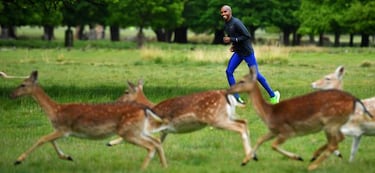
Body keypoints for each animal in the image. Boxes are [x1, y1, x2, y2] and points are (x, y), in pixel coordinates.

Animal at [9, 70, 167, 170]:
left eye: (23, 84)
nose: (12, 94)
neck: (55, 110)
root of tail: (144, 109)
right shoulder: (59, 130)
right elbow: (50, 141)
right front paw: (68, 157)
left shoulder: (64, 129)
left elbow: (42, 139)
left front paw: (18, 160)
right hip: (136, 130)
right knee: (155, 142)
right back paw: (163, 166)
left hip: (128, 131)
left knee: (151, 145)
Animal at [114, 79, 256, 166]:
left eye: (126, 91)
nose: (117, 101)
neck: (152, 107)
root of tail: (226, 94)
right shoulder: (165, 130)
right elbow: (159, 142)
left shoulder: (155, 125)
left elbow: (128, 135)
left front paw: (111, 143)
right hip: (227, 116)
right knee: (244, 122)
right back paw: (252, 156)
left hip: (216, 119)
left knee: (240, 126)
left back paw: (247, 158)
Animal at [226, 66, 374, 170]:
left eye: (242, 81)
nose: (228, 90)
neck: (269, 113)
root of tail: (354, 100)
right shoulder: (273, 130)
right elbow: (260, 139)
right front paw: (245, 161)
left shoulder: (286, 130)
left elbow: (273, 145)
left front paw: (298, 157)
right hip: (335, 124)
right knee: (338, 139)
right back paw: (314, 158)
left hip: (331, 122)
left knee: (334, 143)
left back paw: (311, 166)